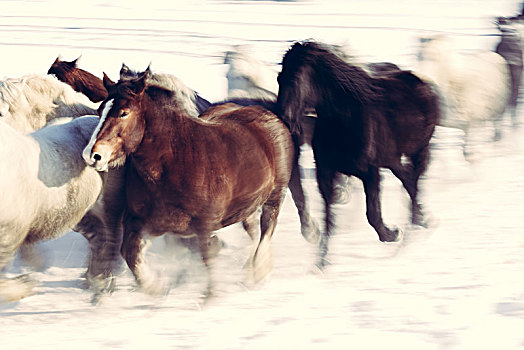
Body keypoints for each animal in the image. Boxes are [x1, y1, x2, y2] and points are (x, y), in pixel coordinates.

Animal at [0, 115, 126, 304]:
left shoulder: (10, 234)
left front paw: (25, 284)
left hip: (110, 205)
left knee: (112, 239)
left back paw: (103, 286)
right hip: (81, 213)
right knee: (98, 238)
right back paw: (93, 280)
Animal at [83, 67, 294, 296]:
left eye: (124, 112)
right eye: (100, 110)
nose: (92, 155)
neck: (175, 164)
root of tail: (270, 115)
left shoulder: (205, 223)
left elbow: (208, 258)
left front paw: (210, 297)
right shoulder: (145, 221)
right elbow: (131, 254)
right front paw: (156, 287)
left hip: (275, 195)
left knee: (267, 229)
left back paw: (258, 271)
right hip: (248, 205)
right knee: (254, 230)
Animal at [276, 41, 440, 270]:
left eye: (297, 79)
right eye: (279, 78)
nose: (285, 118)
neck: (344, 121)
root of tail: (421, 83)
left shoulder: (370, 171)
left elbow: (372, 213)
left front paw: (392, 234)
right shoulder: (326, 172)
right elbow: (328, 218)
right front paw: (322, 262)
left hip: (417, 151)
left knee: (414, 183)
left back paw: (414, 229)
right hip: (394, 159)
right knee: (409, 180)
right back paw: (422, 221)